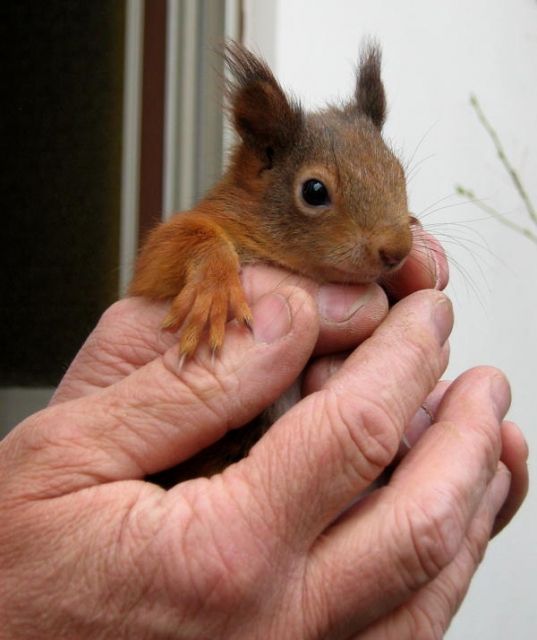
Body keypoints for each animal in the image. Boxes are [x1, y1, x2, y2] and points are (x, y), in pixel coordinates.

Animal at [129, 42, 413, 483]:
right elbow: (169, 248)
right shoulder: (173, 250)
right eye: (313, 191)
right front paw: (213, 292)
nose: (397, 250)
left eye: (398, 173)